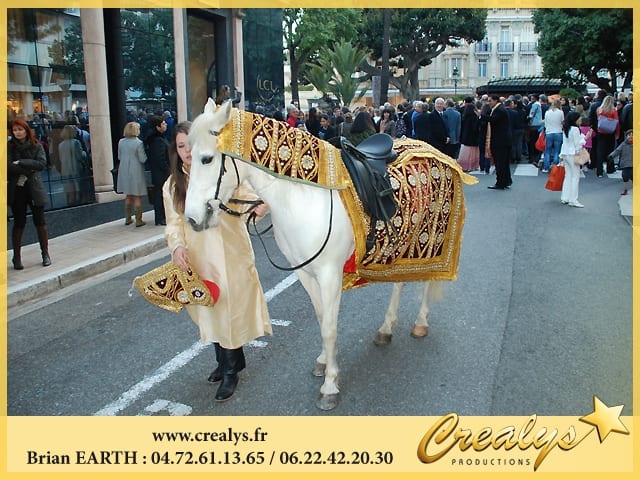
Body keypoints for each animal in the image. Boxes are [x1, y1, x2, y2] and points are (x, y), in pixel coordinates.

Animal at [185, 100, 464, 408]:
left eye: (207, 159)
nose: (193, 219)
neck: (302, 198)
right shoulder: (304, 272)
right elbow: (321, 318)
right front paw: (323, 362)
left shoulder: (330, 274)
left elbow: (330, 326)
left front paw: (330, 385)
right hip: (402, 243)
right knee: (400, 282)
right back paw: (386, 329)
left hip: (433, 236)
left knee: (426, 279)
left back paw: (420, 323)